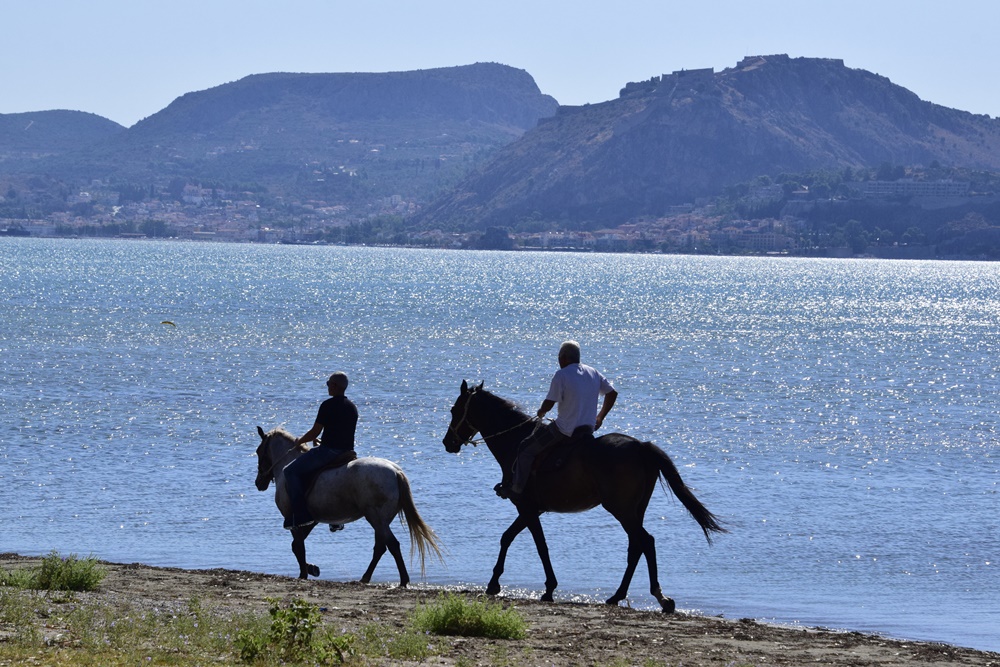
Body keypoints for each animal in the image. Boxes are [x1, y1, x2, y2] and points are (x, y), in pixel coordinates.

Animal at [442, 384, 724, 612]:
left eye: (455, 409)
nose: (448, 442)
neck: (515, 441)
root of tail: (640, 446)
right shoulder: (532, 509)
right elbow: (508, 537)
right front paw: (495, 583)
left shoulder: (526, 507)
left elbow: (538, 546)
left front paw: (547, 588)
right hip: (635, 510)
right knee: (636, 546)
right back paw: (618, 596)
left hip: (622, 510)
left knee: (645, 541)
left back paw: (659, 597)